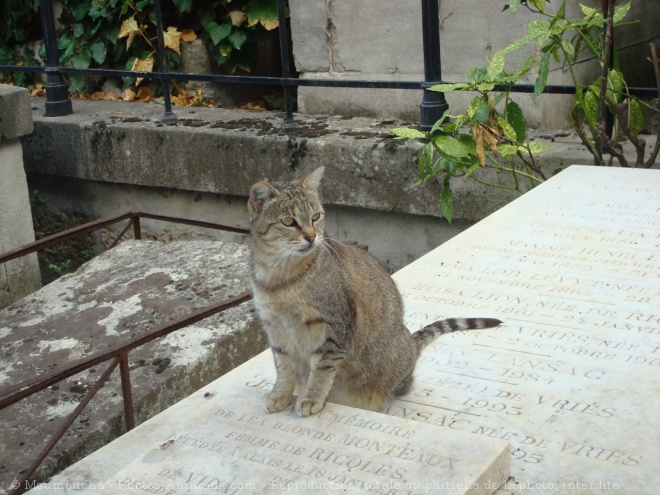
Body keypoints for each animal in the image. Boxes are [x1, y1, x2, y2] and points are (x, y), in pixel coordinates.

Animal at [248, 169, 500, 416]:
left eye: (316, 217)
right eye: (288, 221)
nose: (311, 237)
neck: (279, 278)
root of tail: (410, 342)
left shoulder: (334, 328)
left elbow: (321, 369)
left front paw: (312, 398)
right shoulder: (274, 327)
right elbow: (284, 367)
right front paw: (280, 394)